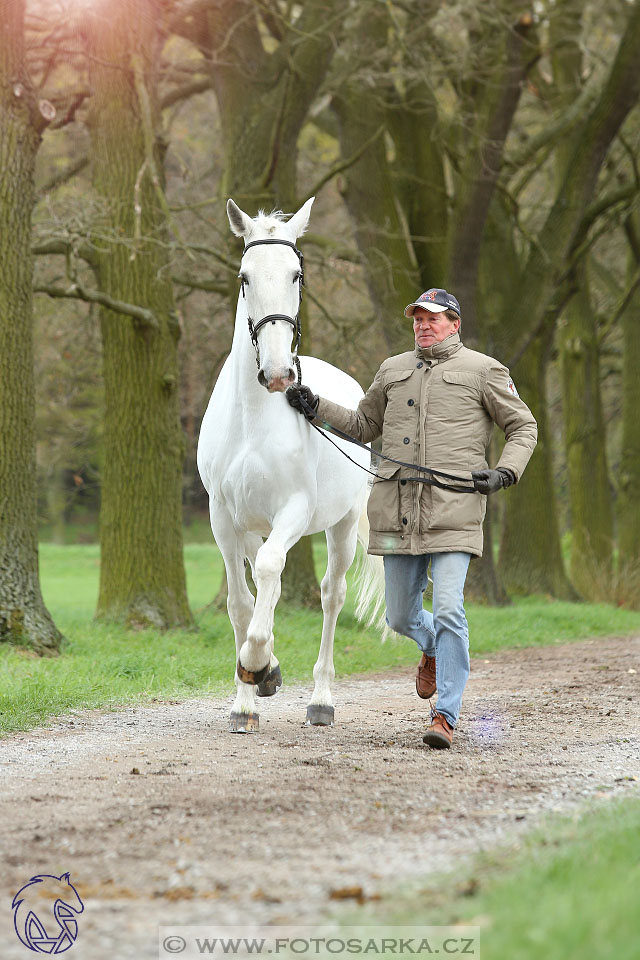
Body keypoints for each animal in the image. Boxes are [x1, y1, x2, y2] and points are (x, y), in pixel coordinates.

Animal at [198, 197, 380, 736]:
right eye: (244, 276)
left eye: (296, 273)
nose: (278, 374)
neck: (252, 420)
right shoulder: (223, 518)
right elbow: (242, 602)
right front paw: (247, 698)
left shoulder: (294, 513)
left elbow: (271, 572)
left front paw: (257, 664)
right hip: (254, 525)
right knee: (265, 581)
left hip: (341, 526)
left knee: (330, 595)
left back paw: (321, 701)